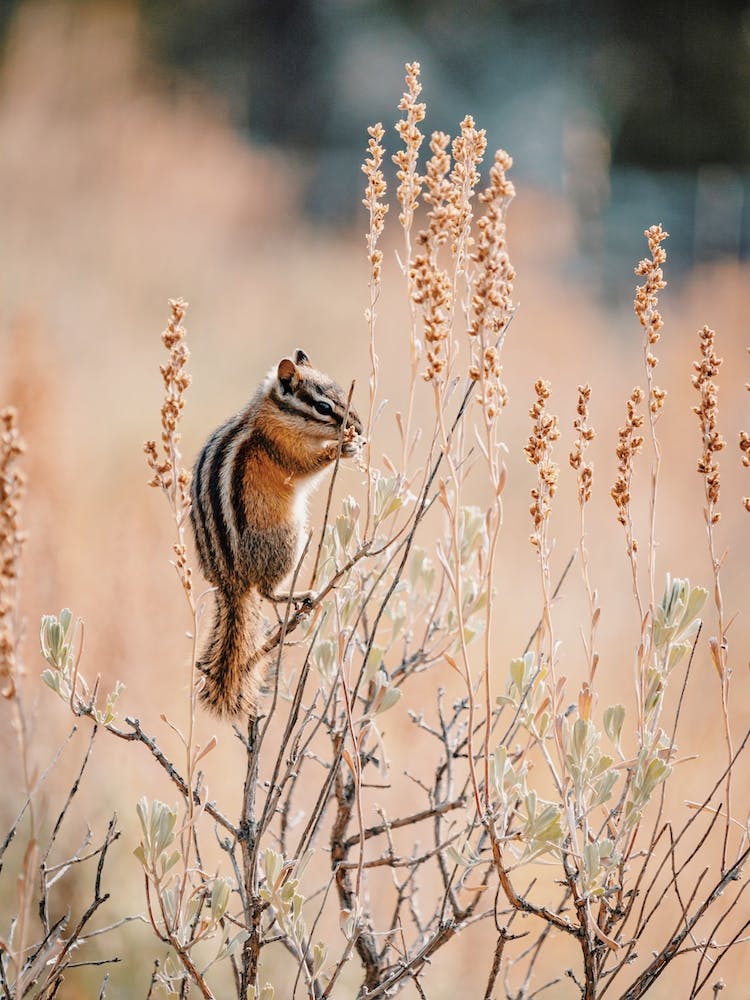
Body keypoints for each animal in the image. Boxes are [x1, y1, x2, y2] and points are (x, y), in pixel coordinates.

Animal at [190, 349, 363, 718]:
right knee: (267, 591)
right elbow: (305, 467)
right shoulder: (282, 450)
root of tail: (229, 581)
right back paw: (301, 596)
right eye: (323, 407)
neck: (271, 416)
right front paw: (342, 449)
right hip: (287, 541)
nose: (358, 426)